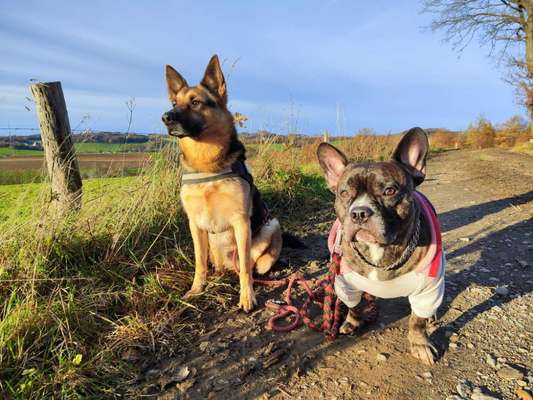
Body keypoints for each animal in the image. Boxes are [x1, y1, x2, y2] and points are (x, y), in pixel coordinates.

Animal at [161, 55, 282, 312]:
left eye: (195, 102)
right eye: (174, 102)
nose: (166, 117)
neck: (207, 165)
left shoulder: (241, 222)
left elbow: (245, 267)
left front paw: (247, 297)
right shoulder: (195, 225)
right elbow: (199, 262)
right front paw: (197, 288)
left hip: (271, 225)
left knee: (254, 264)